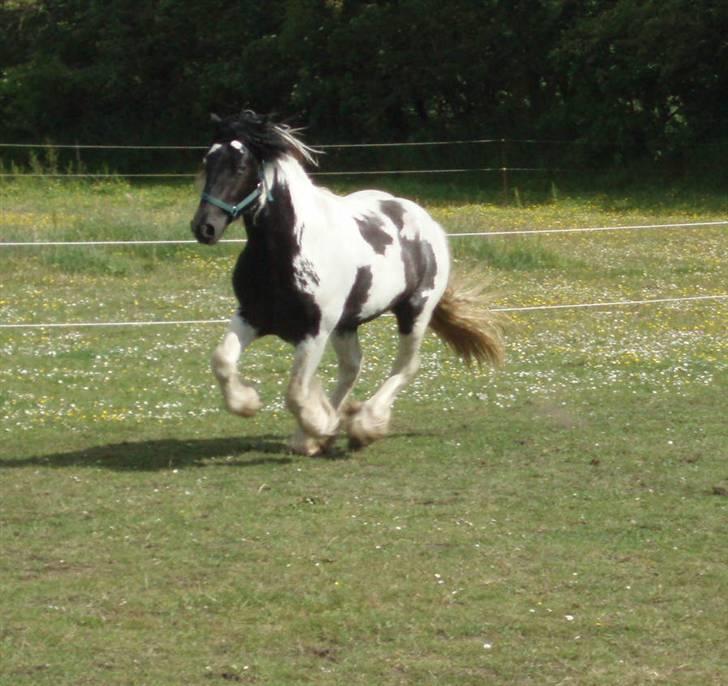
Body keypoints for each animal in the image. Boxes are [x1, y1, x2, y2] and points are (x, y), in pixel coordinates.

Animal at [191, 110, 504, 456]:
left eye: (240, 167)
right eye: (208, 160)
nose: (204, 227)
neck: (286, 250)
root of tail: (427, 221)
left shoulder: (316, 330)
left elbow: (296, 392)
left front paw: (320, 426)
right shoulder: (252, 315)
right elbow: (222, 360)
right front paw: (248, 404)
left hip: (414, 311)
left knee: (406, 367)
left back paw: (363, 426)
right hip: (348, 324)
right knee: (353, 366)